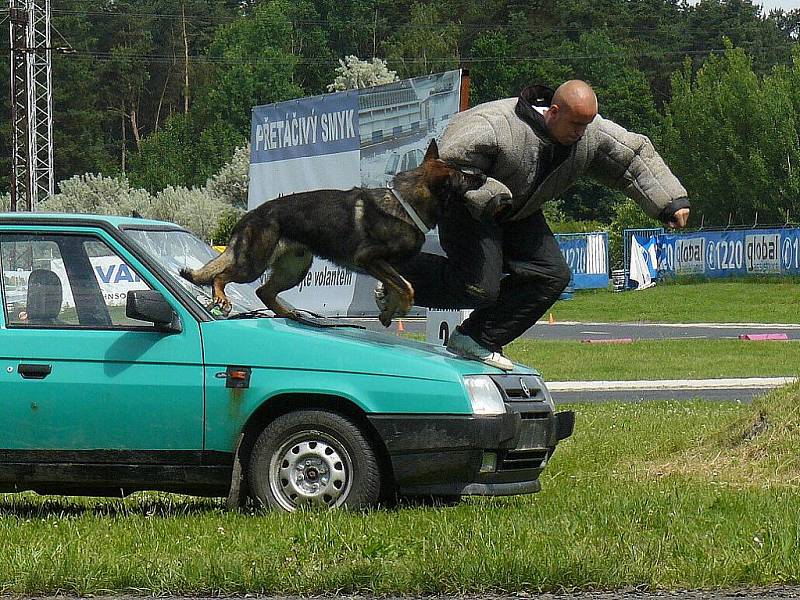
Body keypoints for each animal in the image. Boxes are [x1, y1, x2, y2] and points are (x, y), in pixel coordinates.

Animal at [179, 140, 484, 326]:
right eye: (463, 176)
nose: (482, 176)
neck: (406, 204)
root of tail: (250, 215)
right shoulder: (370, 260)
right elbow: (407, 287)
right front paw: (401, 309)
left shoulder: (386, 267)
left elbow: (398, 287)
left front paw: (388, 311)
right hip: (254, 265)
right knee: (221, 276)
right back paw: (222, 297)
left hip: (295, 269)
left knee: (264, 291)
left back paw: (291, 314)